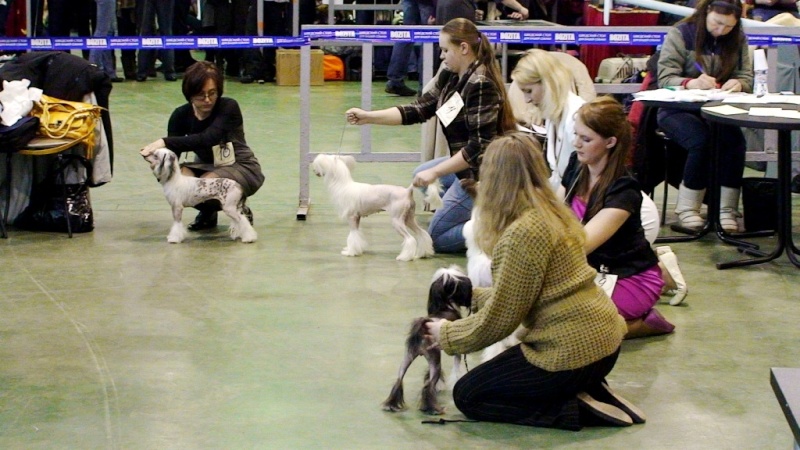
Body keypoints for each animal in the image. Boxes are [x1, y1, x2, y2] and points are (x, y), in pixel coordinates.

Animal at [382, 264, 472, 414]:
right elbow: (456, 369)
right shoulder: (456, 352)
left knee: (399, 380)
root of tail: (423, 326)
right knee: (427, 386)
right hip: (434, 360)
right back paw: (433, 408)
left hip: (408, 357)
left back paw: (392, 405)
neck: (446, 306)